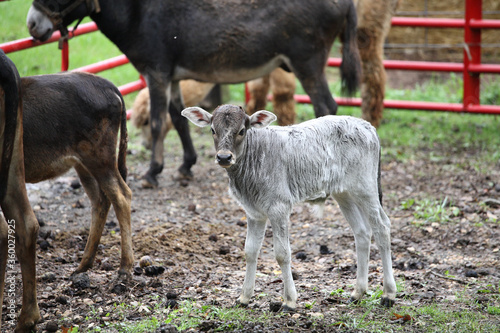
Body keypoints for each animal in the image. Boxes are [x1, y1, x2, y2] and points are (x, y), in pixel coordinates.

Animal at [27, 0, 360, 187]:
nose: (31, 25)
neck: (138, 11)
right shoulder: (172, 76)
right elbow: (179, 118)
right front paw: (186, 166)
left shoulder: (156, 72)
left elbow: (158, 122)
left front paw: (153, 172)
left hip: (308, 63)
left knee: (326, 106)